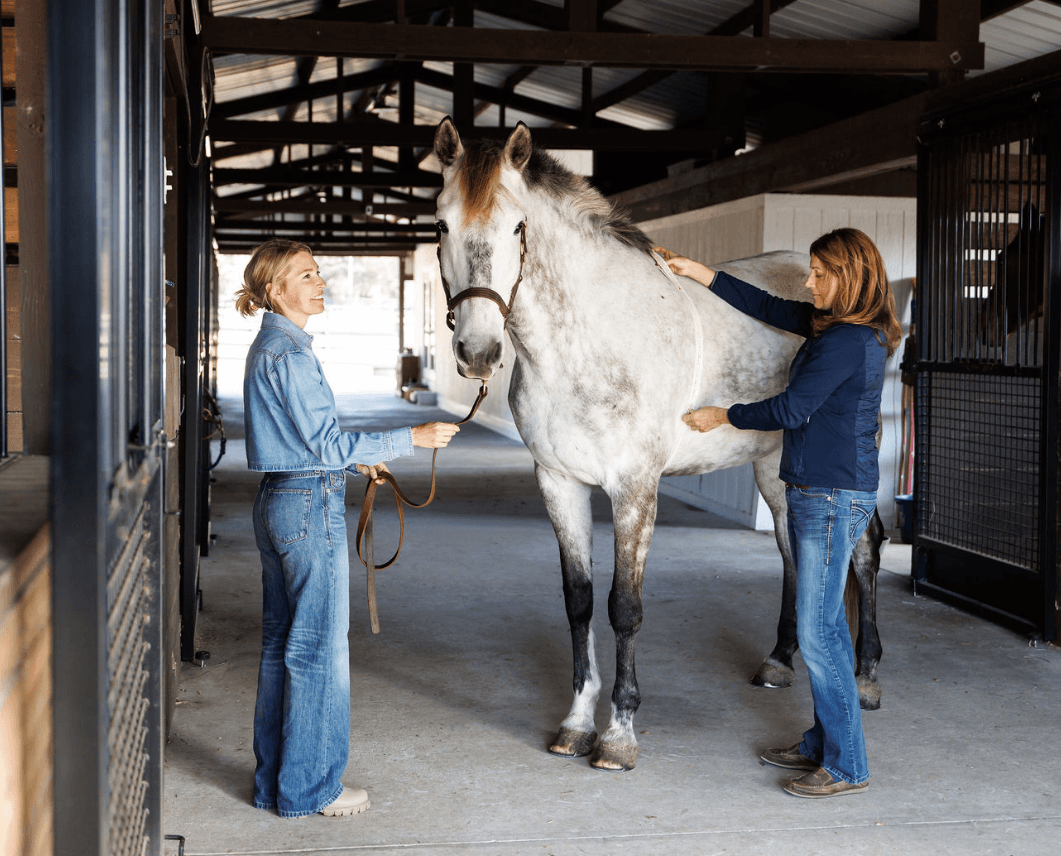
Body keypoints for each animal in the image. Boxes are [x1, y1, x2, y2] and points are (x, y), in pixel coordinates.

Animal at [432, 118, 885, 772]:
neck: (589, 343)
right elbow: (578, 601)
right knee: (792, 553)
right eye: (441, 224)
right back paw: (779, 661)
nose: (478, 352)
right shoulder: (558, 483)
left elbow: (624, 606)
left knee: (865, 552)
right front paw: (576, 722)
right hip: (775, 469)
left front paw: (619, 735)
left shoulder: (634, 489)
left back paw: (868, 677)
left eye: (518, 227)